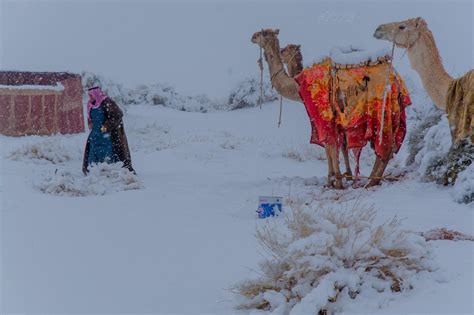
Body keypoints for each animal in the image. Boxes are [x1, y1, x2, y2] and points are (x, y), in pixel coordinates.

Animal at [252, 29, 412, 188]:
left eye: (263, 34)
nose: (252, 37)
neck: (298, 85)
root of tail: (396, 79)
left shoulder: (322, 114)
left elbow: (329, 145)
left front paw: (335, 181)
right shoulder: (338, 119)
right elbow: (339, 146)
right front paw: (343, 177)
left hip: (381, 108)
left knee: (385, 146)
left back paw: (370, 182)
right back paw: (371, 180)